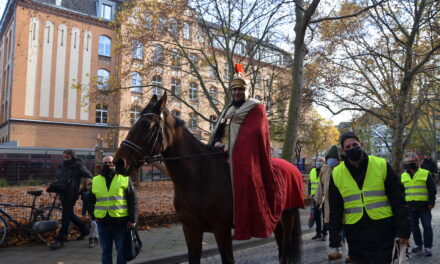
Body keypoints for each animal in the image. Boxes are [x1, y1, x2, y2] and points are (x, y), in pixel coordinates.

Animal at [113, 93, 302, 264]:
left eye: (147, 124)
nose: (119, 162)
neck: (198, 177)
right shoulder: (190, 229)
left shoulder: (222, 229)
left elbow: (227, 259)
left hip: (289, 215)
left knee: (285, 247)